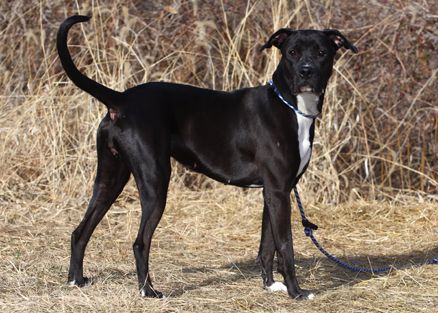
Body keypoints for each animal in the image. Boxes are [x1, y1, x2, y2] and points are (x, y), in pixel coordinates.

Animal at [57, 15, 356, 300]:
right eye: (292, 52)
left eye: (322, 53)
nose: (306, 71)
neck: (289, 105)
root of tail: (120, 99)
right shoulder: (280, 192)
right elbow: (285, 246)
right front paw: (296, 292)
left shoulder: (273, 193)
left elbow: (267, 245)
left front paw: (271, 286)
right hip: (155, 181)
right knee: (140, 242)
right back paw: (148, 291)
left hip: (110, 179)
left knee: (80, 232)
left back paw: (76, 280)